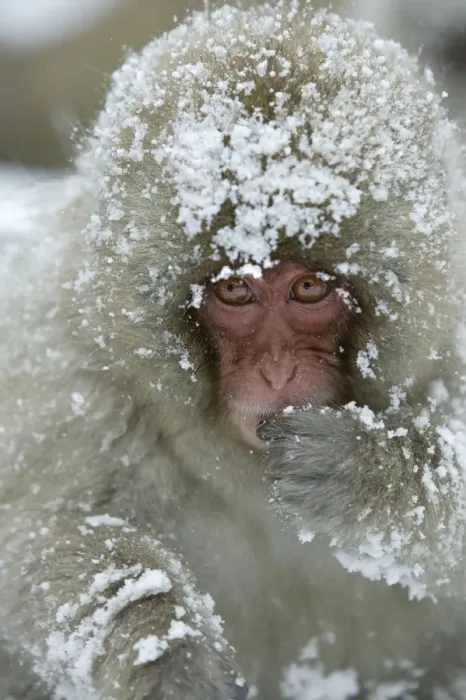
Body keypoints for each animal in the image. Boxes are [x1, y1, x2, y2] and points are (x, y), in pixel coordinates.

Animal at [2, 1, 466, 699]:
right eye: (234, 290)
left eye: (307, 288)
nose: (276, 374)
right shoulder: (74, 378)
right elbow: (29, 538)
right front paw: (161, 648)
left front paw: (368, 471)